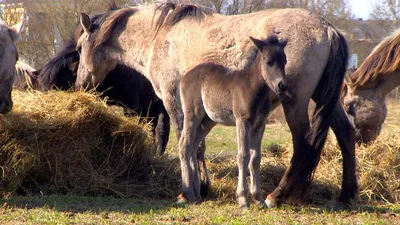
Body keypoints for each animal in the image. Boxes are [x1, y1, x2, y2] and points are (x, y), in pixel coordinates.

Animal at [179, 35, 288, 207]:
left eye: (285, 60)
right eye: (268, 61)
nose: (282, 85)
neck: (254, 88)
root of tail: (185, 76)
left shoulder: (260, 125)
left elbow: (255, 159)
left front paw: (258, 199)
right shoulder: (242, 121)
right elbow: (243, 156)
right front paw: (243, 199)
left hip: (208, 120)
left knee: (193, 145)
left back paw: (197, 194)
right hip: (192, 114)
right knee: (184, 144)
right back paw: (188, 192)